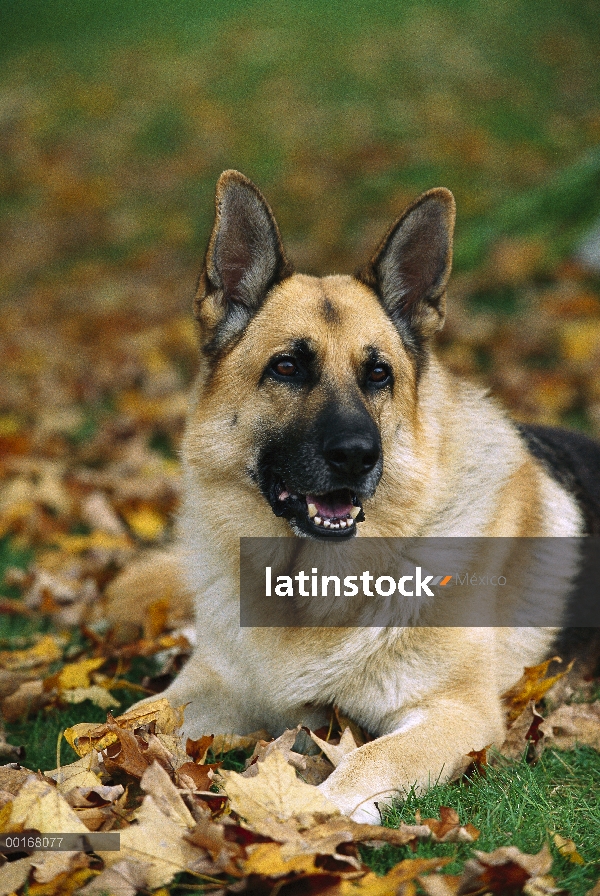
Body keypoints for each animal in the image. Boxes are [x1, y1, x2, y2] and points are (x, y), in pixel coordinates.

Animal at [108, 172, 600, 824]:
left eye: (379, 375)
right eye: (287, 367)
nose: (357, 456)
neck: (305, 587)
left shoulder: (458, 713)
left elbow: (370, 762)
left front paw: (305, 818)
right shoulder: (213, 686)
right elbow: (121, 725)